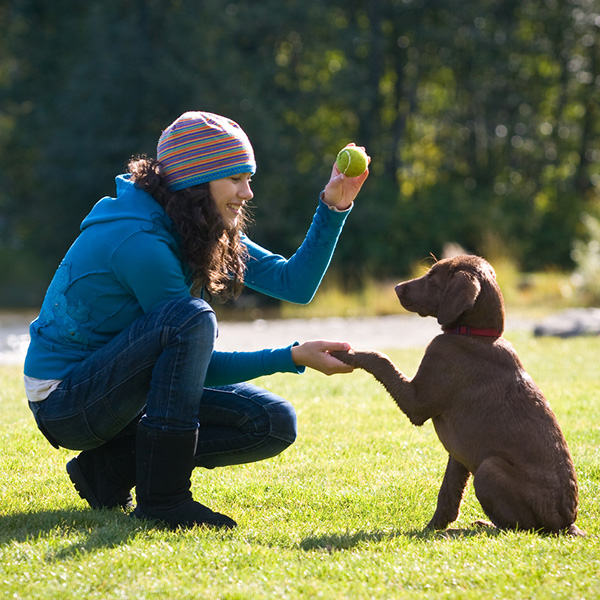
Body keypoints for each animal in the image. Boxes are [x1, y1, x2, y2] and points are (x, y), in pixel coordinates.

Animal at [330, 253, 584, 536]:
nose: (396, 288)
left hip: (488, 469)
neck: (476, 335)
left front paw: (345, 352)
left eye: (432, 277)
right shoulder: (458, 454)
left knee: (520, 528)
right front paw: (434, 527)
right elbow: (449, 493)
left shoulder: (417, 402)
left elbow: (380, 358)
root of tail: (566, 524)